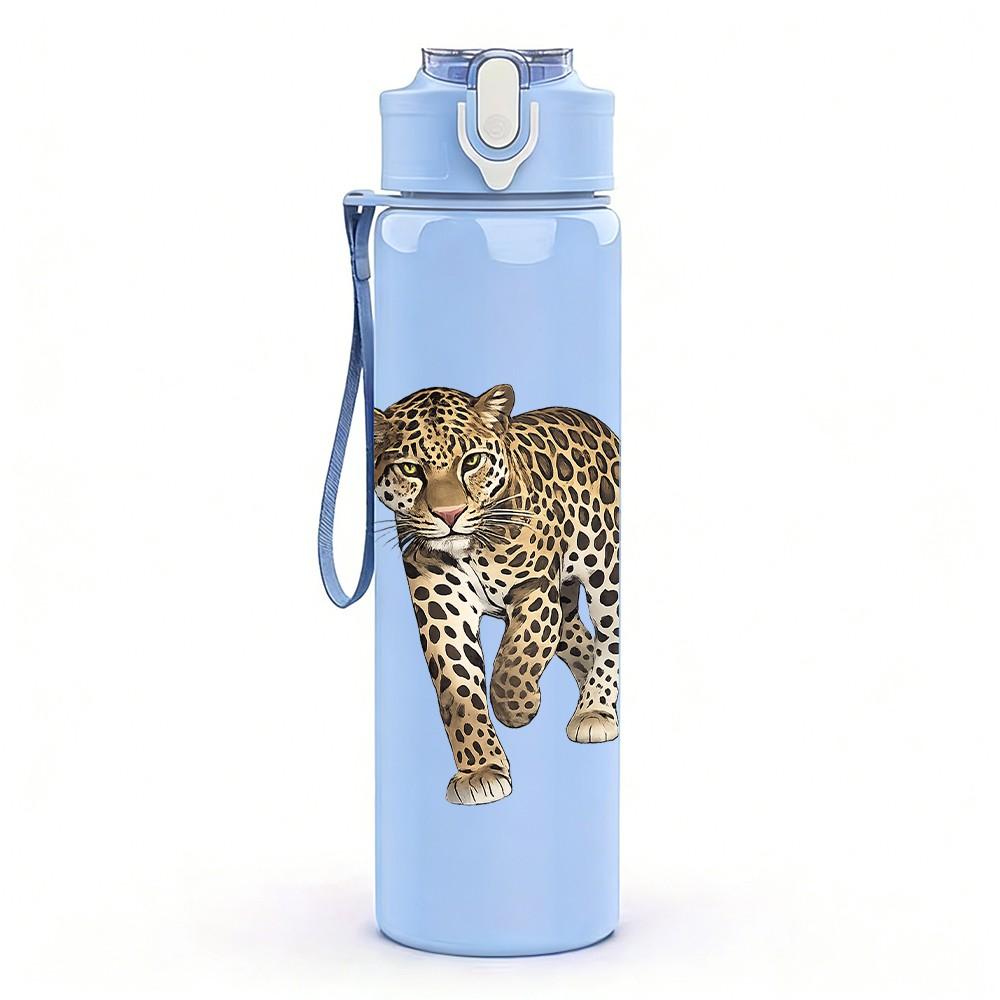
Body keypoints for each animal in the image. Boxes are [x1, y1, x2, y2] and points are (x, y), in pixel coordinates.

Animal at [374, 384, 620, 806]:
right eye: (409, 469)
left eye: (471, 462)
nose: (450, 515)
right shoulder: (441, 605)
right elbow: (458, 689)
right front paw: (481, 771)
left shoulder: (533, 588)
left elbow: (517, 658)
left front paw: (519, 708)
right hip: (564, 597)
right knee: (576, 637)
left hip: (606, 570)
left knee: (610, 637)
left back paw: (595, 710)